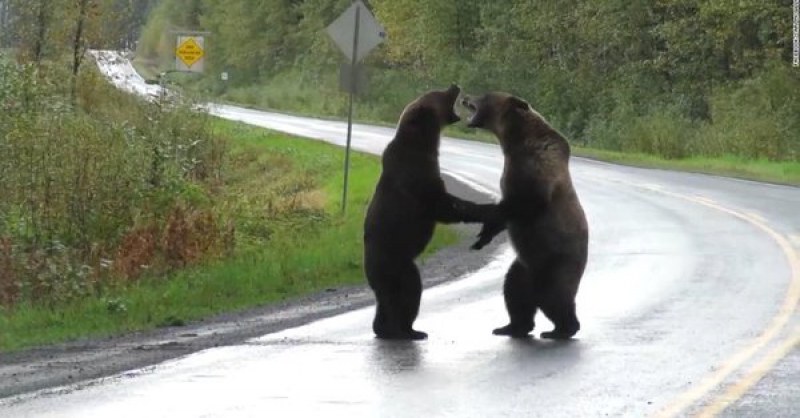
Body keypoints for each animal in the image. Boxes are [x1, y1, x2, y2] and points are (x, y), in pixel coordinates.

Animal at [364, 84, 500, 340]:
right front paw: (490, 209)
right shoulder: (418, 178)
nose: (454, 85)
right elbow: (446, 206)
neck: (423, 143)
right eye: (438, 93)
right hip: (396, 262)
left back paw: (394, 328)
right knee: (407, 292)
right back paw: (404, 330)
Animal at [462, 91, 588, 340]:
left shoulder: (536, 167)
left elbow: (525, 202)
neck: (514, 141)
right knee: (515, 291)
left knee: (553, 296)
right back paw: (512, 326)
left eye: (484, 95)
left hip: (556, 261)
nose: (465, 97)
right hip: (524, 266)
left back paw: (561, 329)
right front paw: (483, 236)